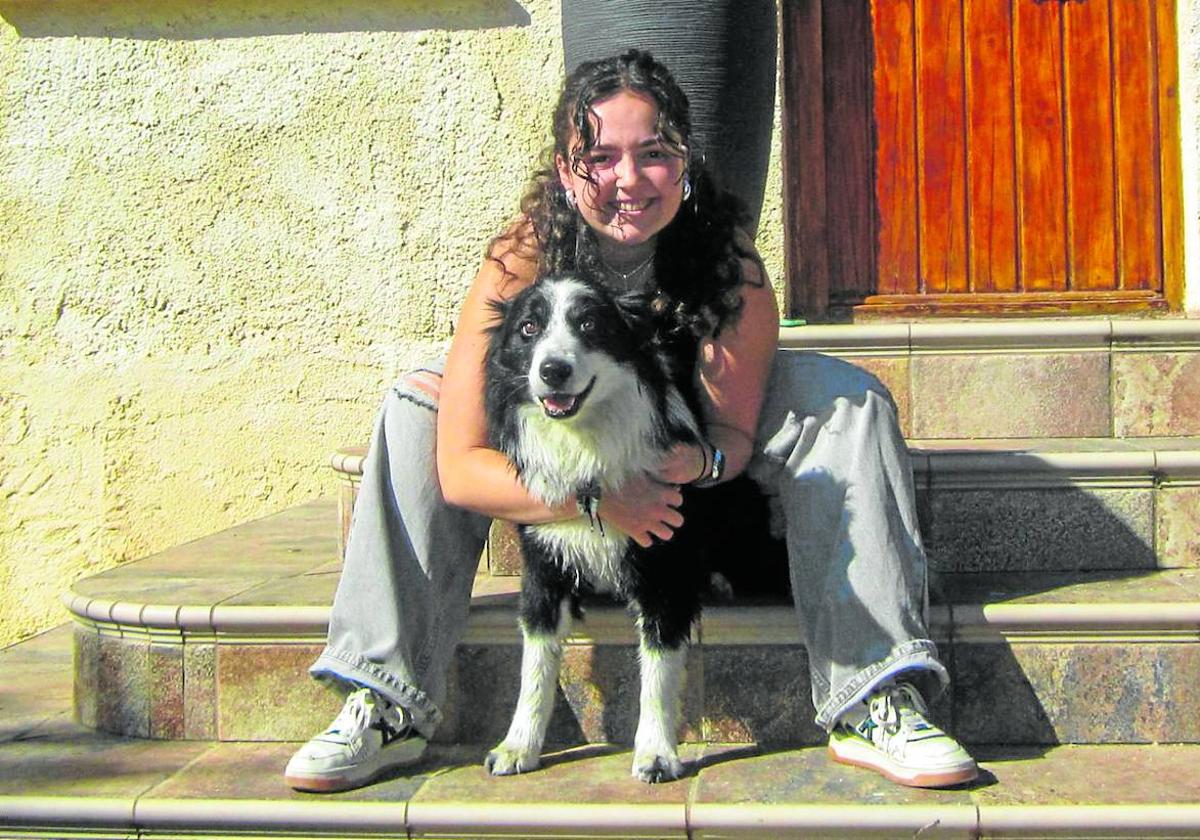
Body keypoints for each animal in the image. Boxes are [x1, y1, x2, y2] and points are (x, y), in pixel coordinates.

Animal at [482, 273, 710, 782]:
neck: (583, 442)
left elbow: (658, 670)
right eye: (528, 328)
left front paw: (656, 753)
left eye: (589, 324)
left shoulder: (665, 572)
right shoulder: (542, 569)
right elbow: (535, 666)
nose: (553, 370)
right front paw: (517, 746)